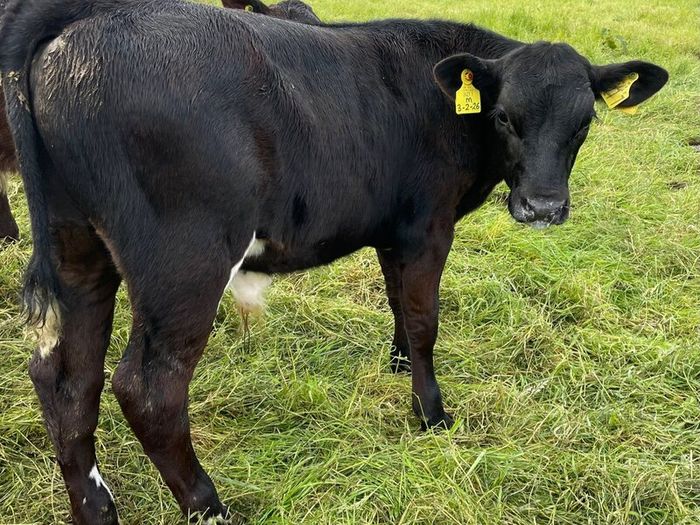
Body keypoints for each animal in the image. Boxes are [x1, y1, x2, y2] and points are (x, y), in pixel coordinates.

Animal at [0, 0, 668, 522]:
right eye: (504, 116)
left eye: (584, 123)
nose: (544, 206)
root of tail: (89, 20)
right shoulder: (427, 228)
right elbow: (425, 319)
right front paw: (432, 414)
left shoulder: (392, 232)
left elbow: (399, 304)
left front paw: (398, 365)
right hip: (183, 265)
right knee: (148, 388)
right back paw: (209, 506)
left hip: (79, 250)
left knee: (66, 380)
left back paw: (98, 510)